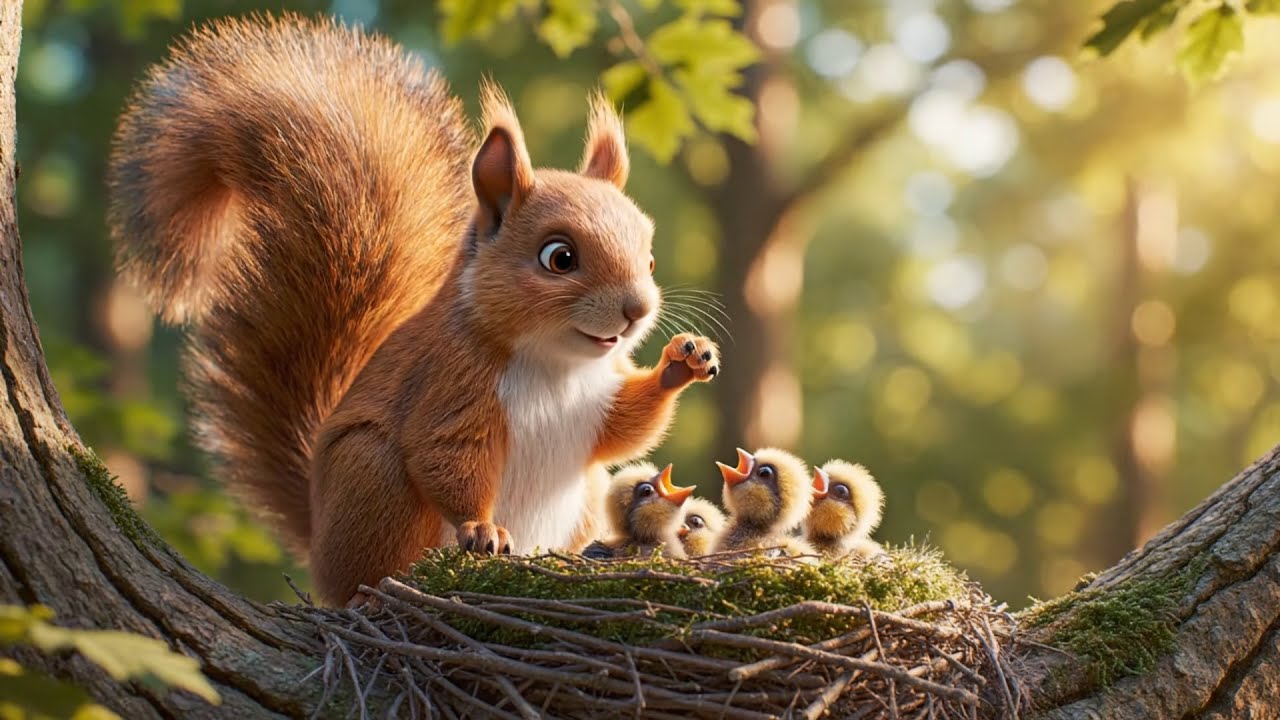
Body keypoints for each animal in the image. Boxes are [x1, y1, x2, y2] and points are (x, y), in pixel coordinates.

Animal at [109, 14, 719, 606]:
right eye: (559, 257)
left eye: (649, 255)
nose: (636, 309)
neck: (556, 364)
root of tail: (319, 544)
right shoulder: (450, 380)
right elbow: (443, 453)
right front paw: (481, 527)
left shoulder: (599, 395)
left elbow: (624, 429)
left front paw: (684, 361)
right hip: (372, 479)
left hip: (585, 493)